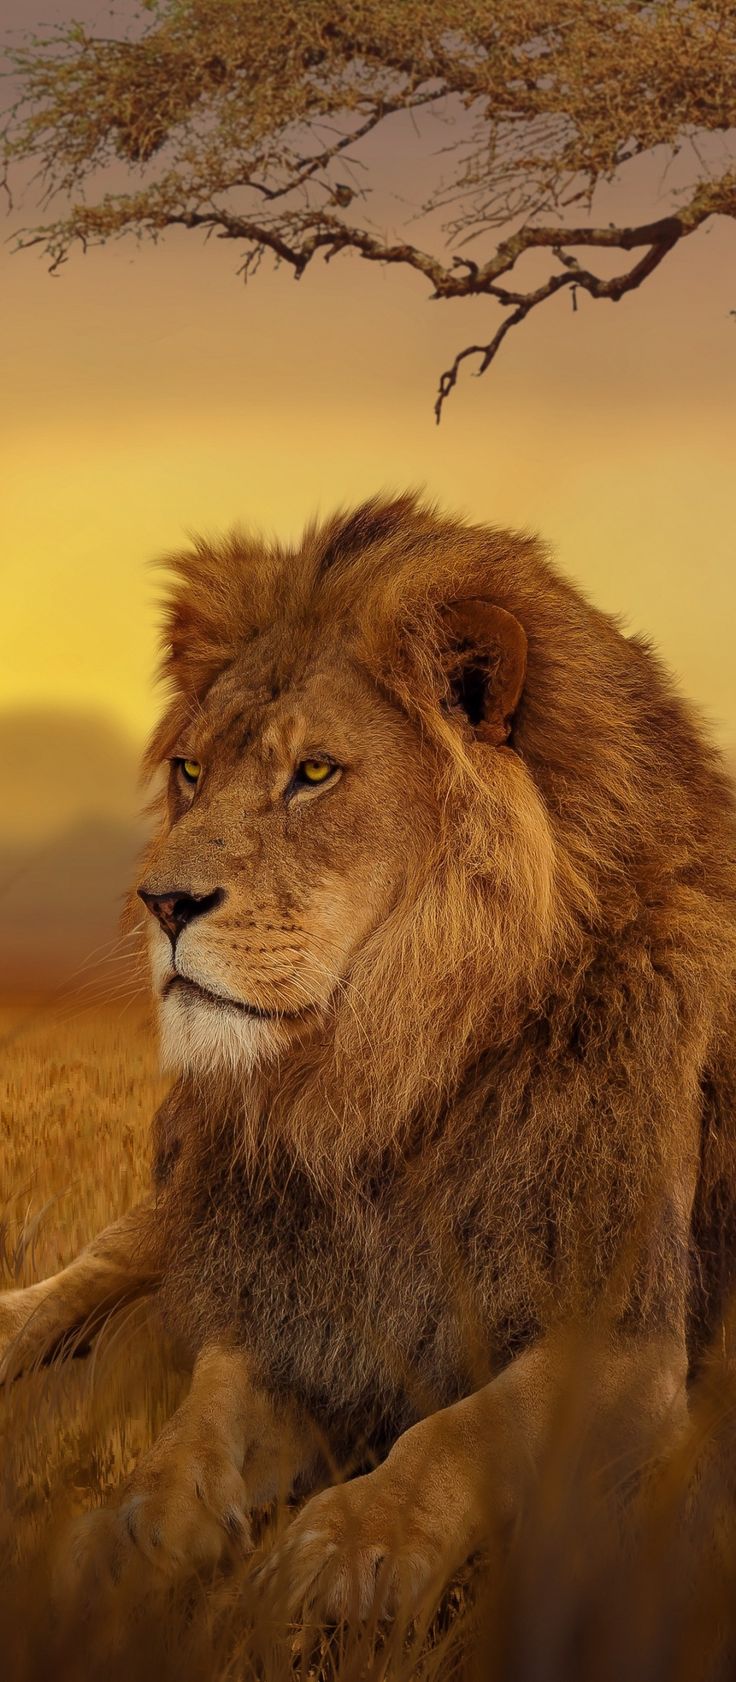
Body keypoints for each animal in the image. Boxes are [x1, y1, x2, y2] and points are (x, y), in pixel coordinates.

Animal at [2, 490, 736, 1618]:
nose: (160, 903)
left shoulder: (626, 1330)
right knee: (91, 1272)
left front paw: (346, 1547)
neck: (385, 1076)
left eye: (313, 773)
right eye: (190, 770)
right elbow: (202, 1415)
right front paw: (135, 1529)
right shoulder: (285, 1284)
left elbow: (464, 1428)